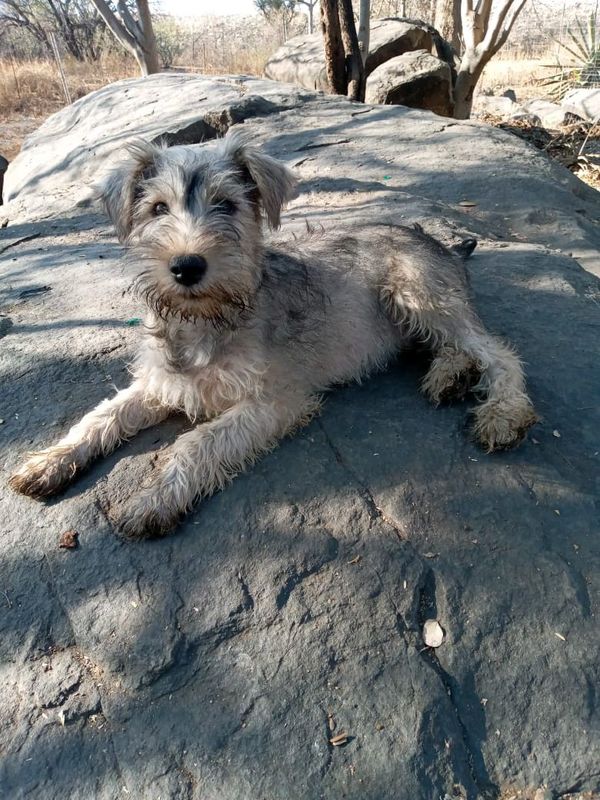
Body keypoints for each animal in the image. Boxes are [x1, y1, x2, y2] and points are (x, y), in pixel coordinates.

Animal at [7, 130, 540, 536]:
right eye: (158, 209)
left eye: (226, 205)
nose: (186, 266)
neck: (207, 321)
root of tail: (441, 241)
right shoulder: (161, 382)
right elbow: (101, 416)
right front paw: (47, 462)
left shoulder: (276, 401)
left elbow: (196, 443)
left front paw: (153, 500)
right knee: (456, 349)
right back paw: (449, 377)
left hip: (418, 294)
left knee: (498, 353)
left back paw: (503, 413)